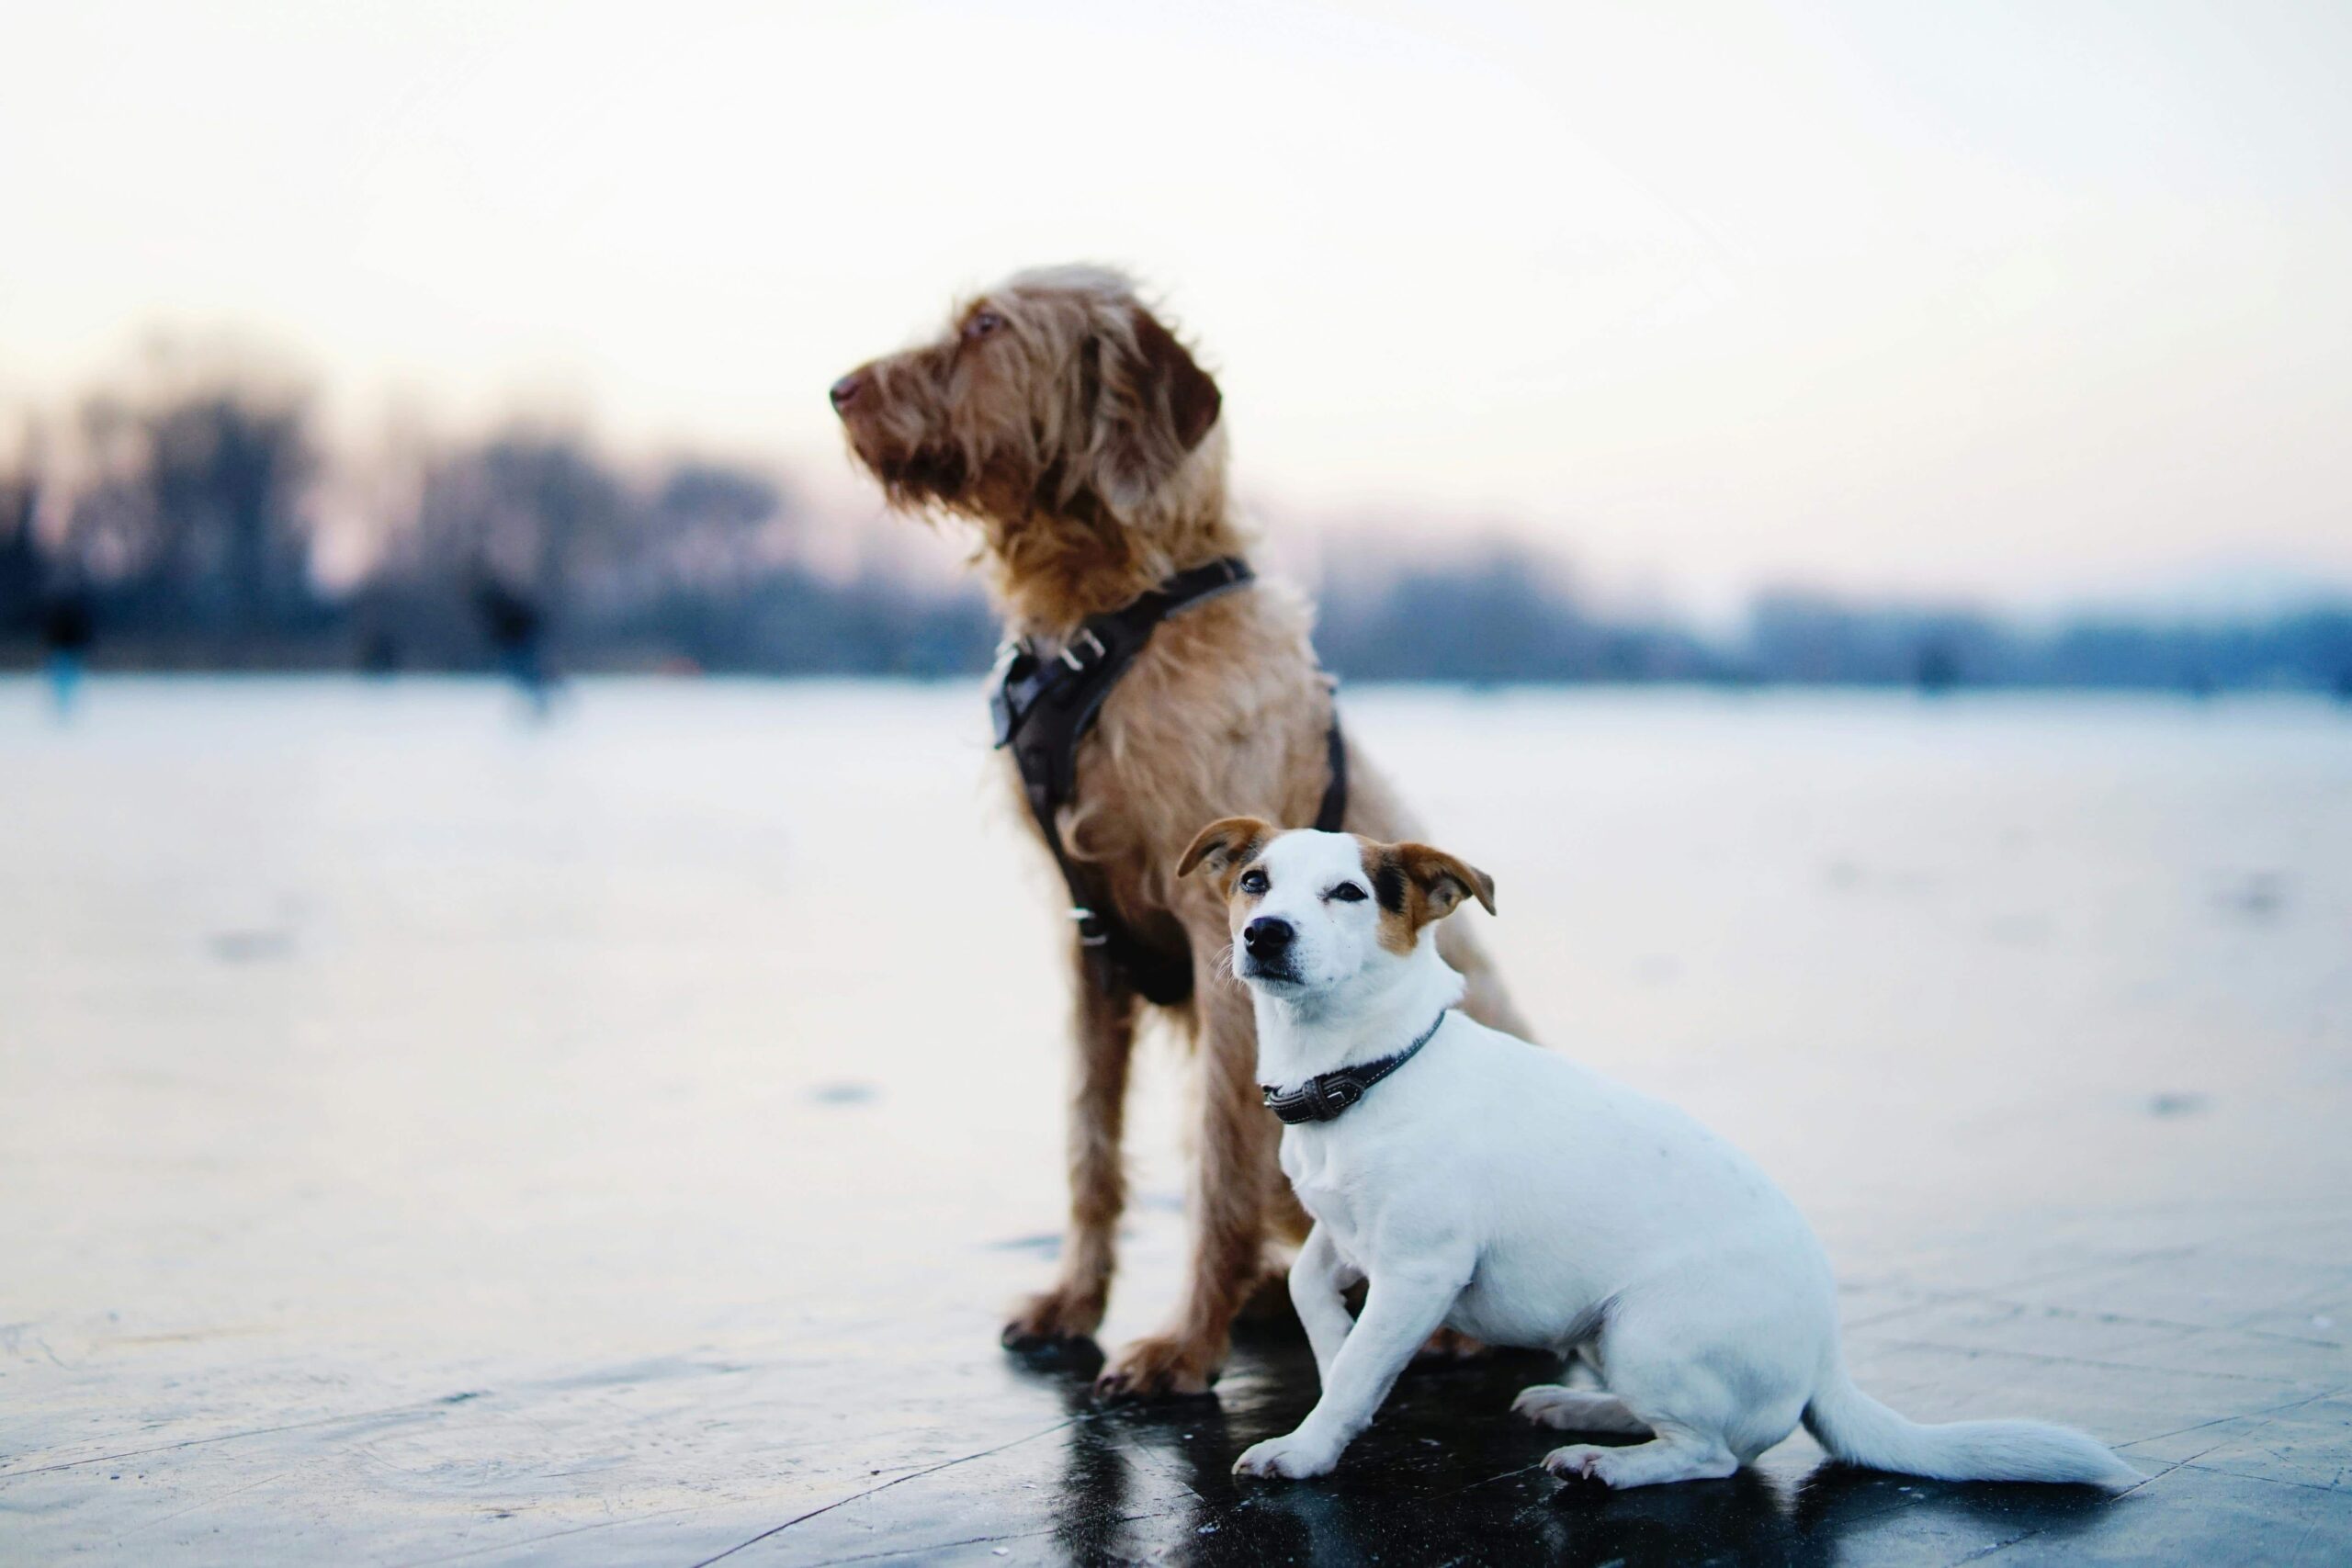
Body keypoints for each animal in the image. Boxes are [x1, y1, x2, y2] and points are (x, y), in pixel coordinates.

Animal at [832, 266, 1523, 1401]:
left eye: (987, 327)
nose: (838, 390)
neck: (1114, 613)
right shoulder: (1088, 944)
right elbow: (1090, 1144)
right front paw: (1075, 1303)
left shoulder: (1222, 951)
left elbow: (1218, 1164)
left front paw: (1183, 1344)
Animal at [1176, 818, 2154, 1495]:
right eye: (1256, 881)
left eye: (1348, 893)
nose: (1265, 932)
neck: (1367, 1071)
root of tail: (1826, 1358)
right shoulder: (1346, 1233)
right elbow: (1314, 1293)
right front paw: (1335, 1346)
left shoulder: (1421, 1268)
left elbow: (1349, 1379)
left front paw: (1307, 1445)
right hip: (1607, 1331)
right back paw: (1577, 1405)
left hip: (1648, 1326)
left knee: (1713, 1453)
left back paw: (1609, 1463)